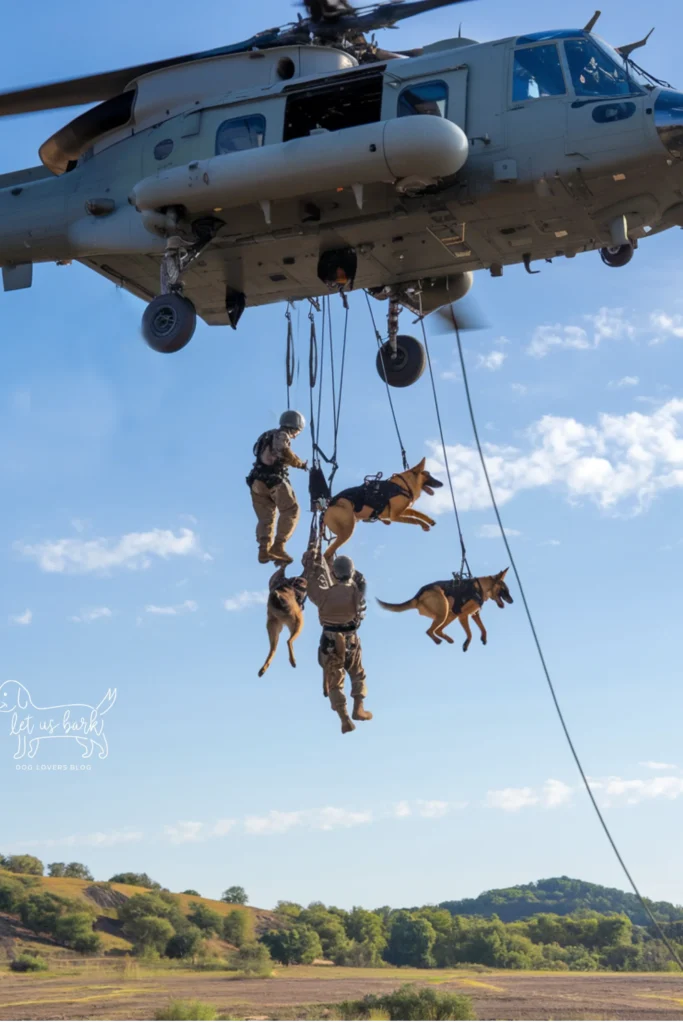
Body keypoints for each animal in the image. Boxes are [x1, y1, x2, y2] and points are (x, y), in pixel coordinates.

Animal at [378, 573, 511, 651]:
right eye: (504, 590)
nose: (512, 600)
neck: (479, 587)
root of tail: (417, 596)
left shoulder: (474, 614)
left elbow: (483, 628)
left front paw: (483, 638)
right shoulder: (463, 615)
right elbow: (470, 633)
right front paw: (466, 644)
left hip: (449, 614)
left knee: (436, 630)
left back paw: (447, 639)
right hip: (445, 611)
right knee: (430, 631)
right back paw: (439, 641)